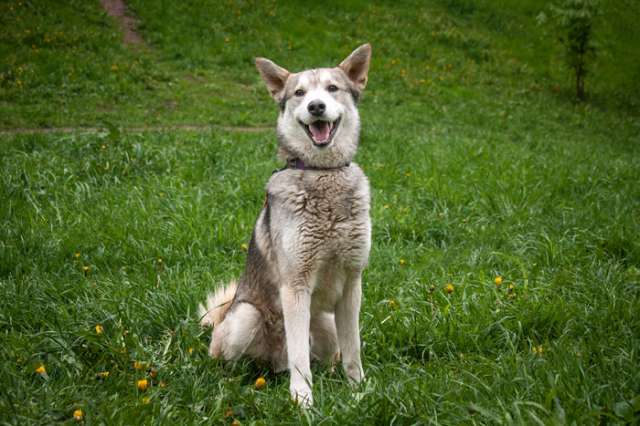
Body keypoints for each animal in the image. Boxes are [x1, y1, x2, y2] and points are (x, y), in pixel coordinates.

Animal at [198, 43, 372, 406]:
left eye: (332, 88)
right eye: (299, 93)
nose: (316, 106)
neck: (322, 175)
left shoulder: (353, 283)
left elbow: (353, 350)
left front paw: (359, 391)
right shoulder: (295, 285)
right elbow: (300, 358)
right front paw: (302, 401)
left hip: (327, 322)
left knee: (326, 357)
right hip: (245, 317)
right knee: (235, 363)